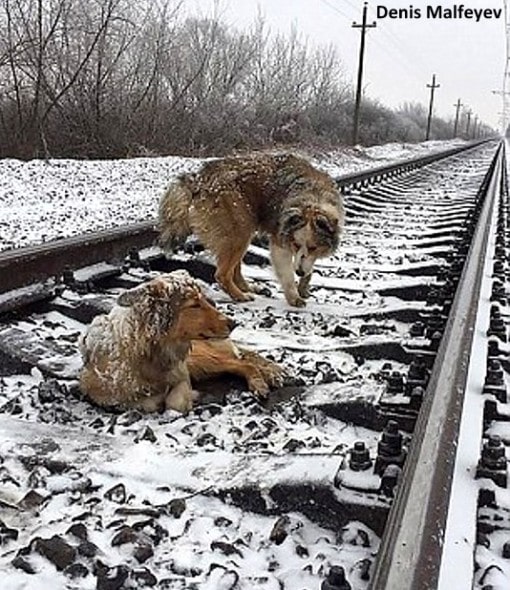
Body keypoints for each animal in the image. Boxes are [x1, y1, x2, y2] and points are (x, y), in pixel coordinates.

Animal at [79, 272, 282, 414]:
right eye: (194, 305)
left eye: (204, 300)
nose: (234, 323)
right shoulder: (100, 392)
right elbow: (144, 402)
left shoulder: (182, 374)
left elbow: (174, 402)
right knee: (240, 361)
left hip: (200, 359)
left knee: (243, 362)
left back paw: (261, 383)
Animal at [158, 153, 342, 308]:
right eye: (295, 245)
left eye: (313, 247)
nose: (299, 271)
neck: (313, 197)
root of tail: (198, 180)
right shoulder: (280, 241)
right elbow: (287, 274)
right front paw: (294, 296)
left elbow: (308, 265)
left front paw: (304, 285)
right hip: (240, 230)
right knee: (222, 274)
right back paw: (240, 295)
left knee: (235, 270)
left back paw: (250, 288)